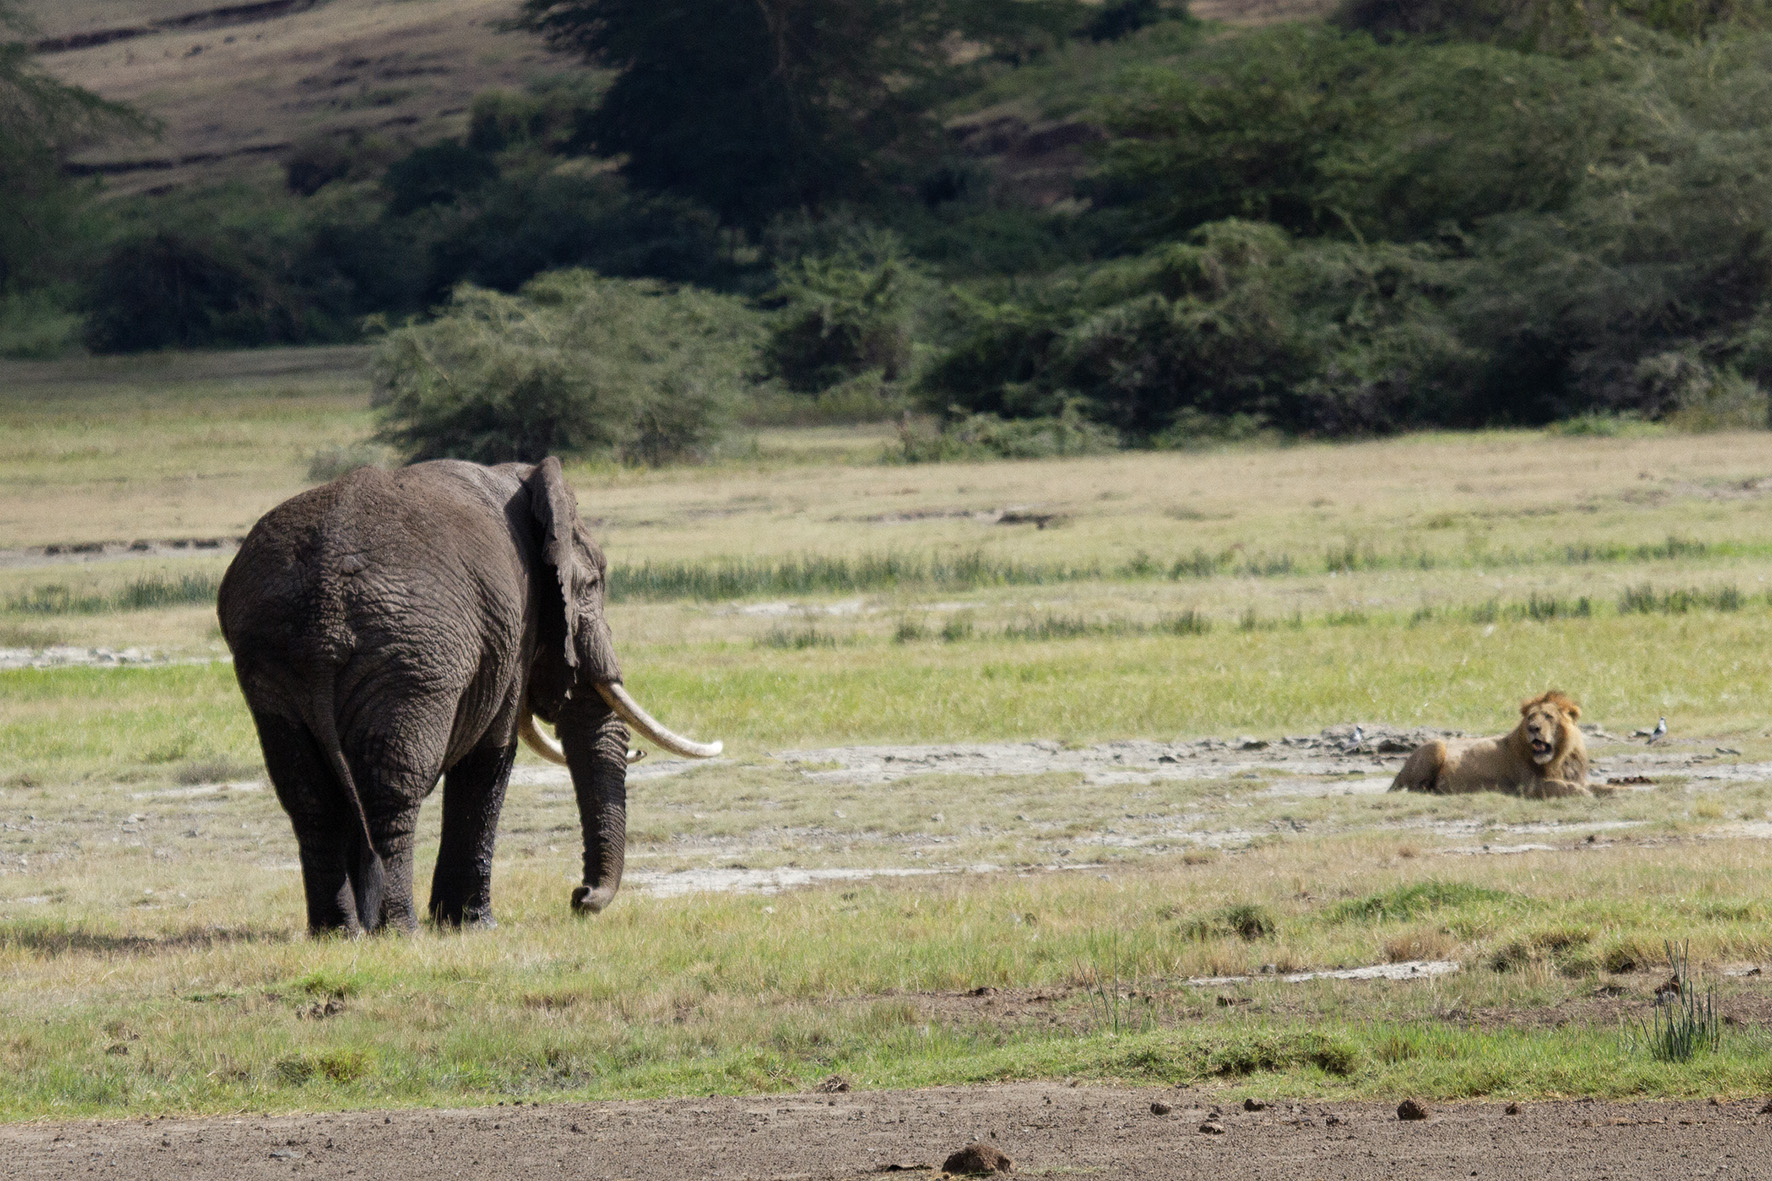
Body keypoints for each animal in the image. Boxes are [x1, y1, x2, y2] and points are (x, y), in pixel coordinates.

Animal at [217, 452, 715, 929]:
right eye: (592, 584)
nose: (580, 897)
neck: (522, 481)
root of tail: (322, 611)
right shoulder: (515, 625)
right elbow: (492, 754)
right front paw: (476, 925)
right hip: (414, 660)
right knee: (393, 786)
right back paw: (398, 929)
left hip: (271, 664)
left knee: (308, 795)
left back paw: (337, 931)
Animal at [1389, 691, 1601, 801]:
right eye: (1531, 717)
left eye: (1548, 716)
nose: (1533, 728)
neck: (1560, 757)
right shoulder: (1528, 786)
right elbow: (1558, 785)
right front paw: (1584, 794)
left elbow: (1600, 786)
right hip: (1437, 745)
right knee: (1415, 788)